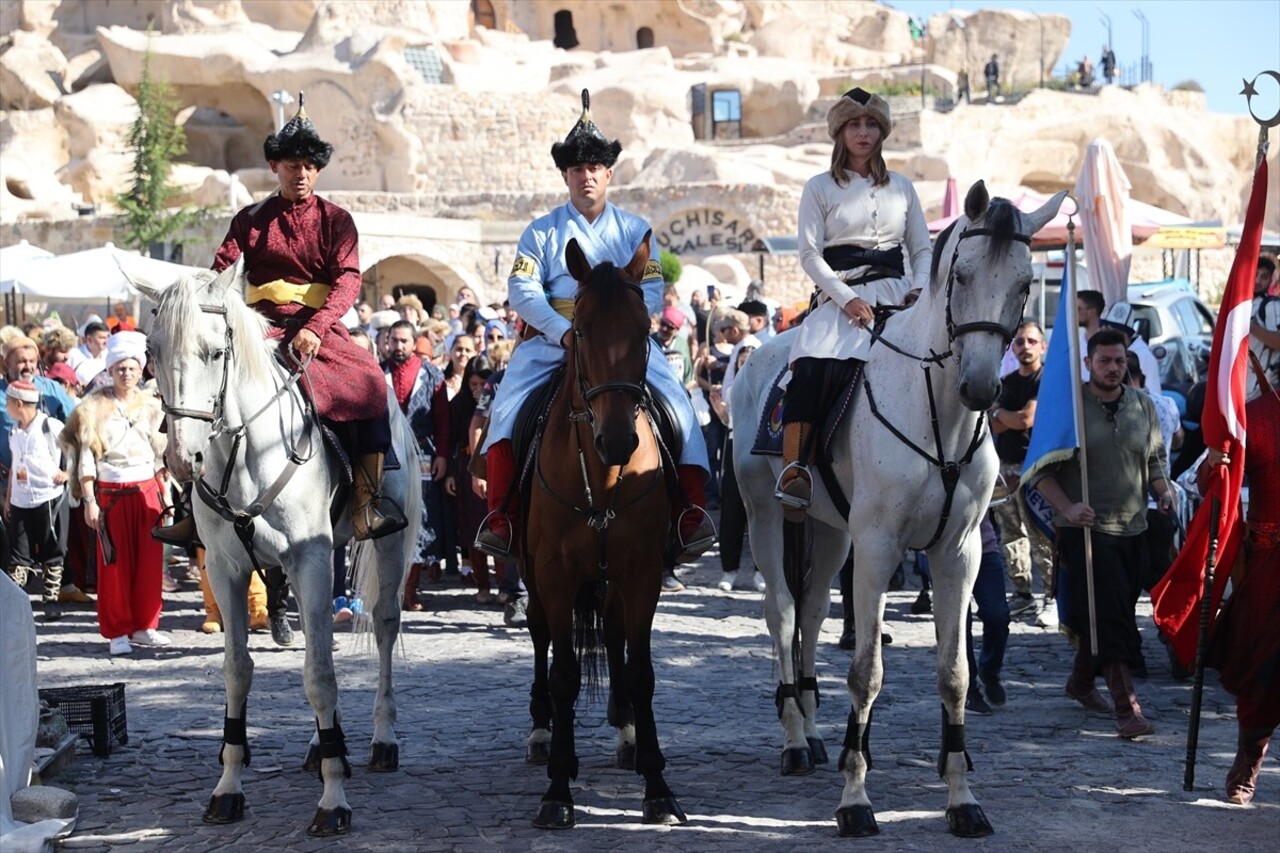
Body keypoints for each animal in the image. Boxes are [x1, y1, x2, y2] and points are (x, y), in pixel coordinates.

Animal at [137, 261, 422, 835]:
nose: (182, 458)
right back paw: (323, 743)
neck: (248, 452)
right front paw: (228, 787)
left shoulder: (309, 559)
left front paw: (333, 800)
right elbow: (238, 671)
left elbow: (319, 675)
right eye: (153, 350)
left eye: (215, 352)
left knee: (382, 625)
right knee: (320, 640)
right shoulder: (226, 569)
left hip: (385, 546)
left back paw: (381, 740)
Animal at [519, 230, 686, 824]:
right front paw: (556, 790)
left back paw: (627, 734)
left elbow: (640, 671)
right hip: (533, 574)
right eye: (584, 330)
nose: (617, 440)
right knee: (541, 636)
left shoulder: (641, 574)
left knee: (613, 637)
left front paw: (657, 784)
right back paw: (543, 733)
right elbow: (565, 673)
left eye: (643, 331)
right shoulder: (553, 574)